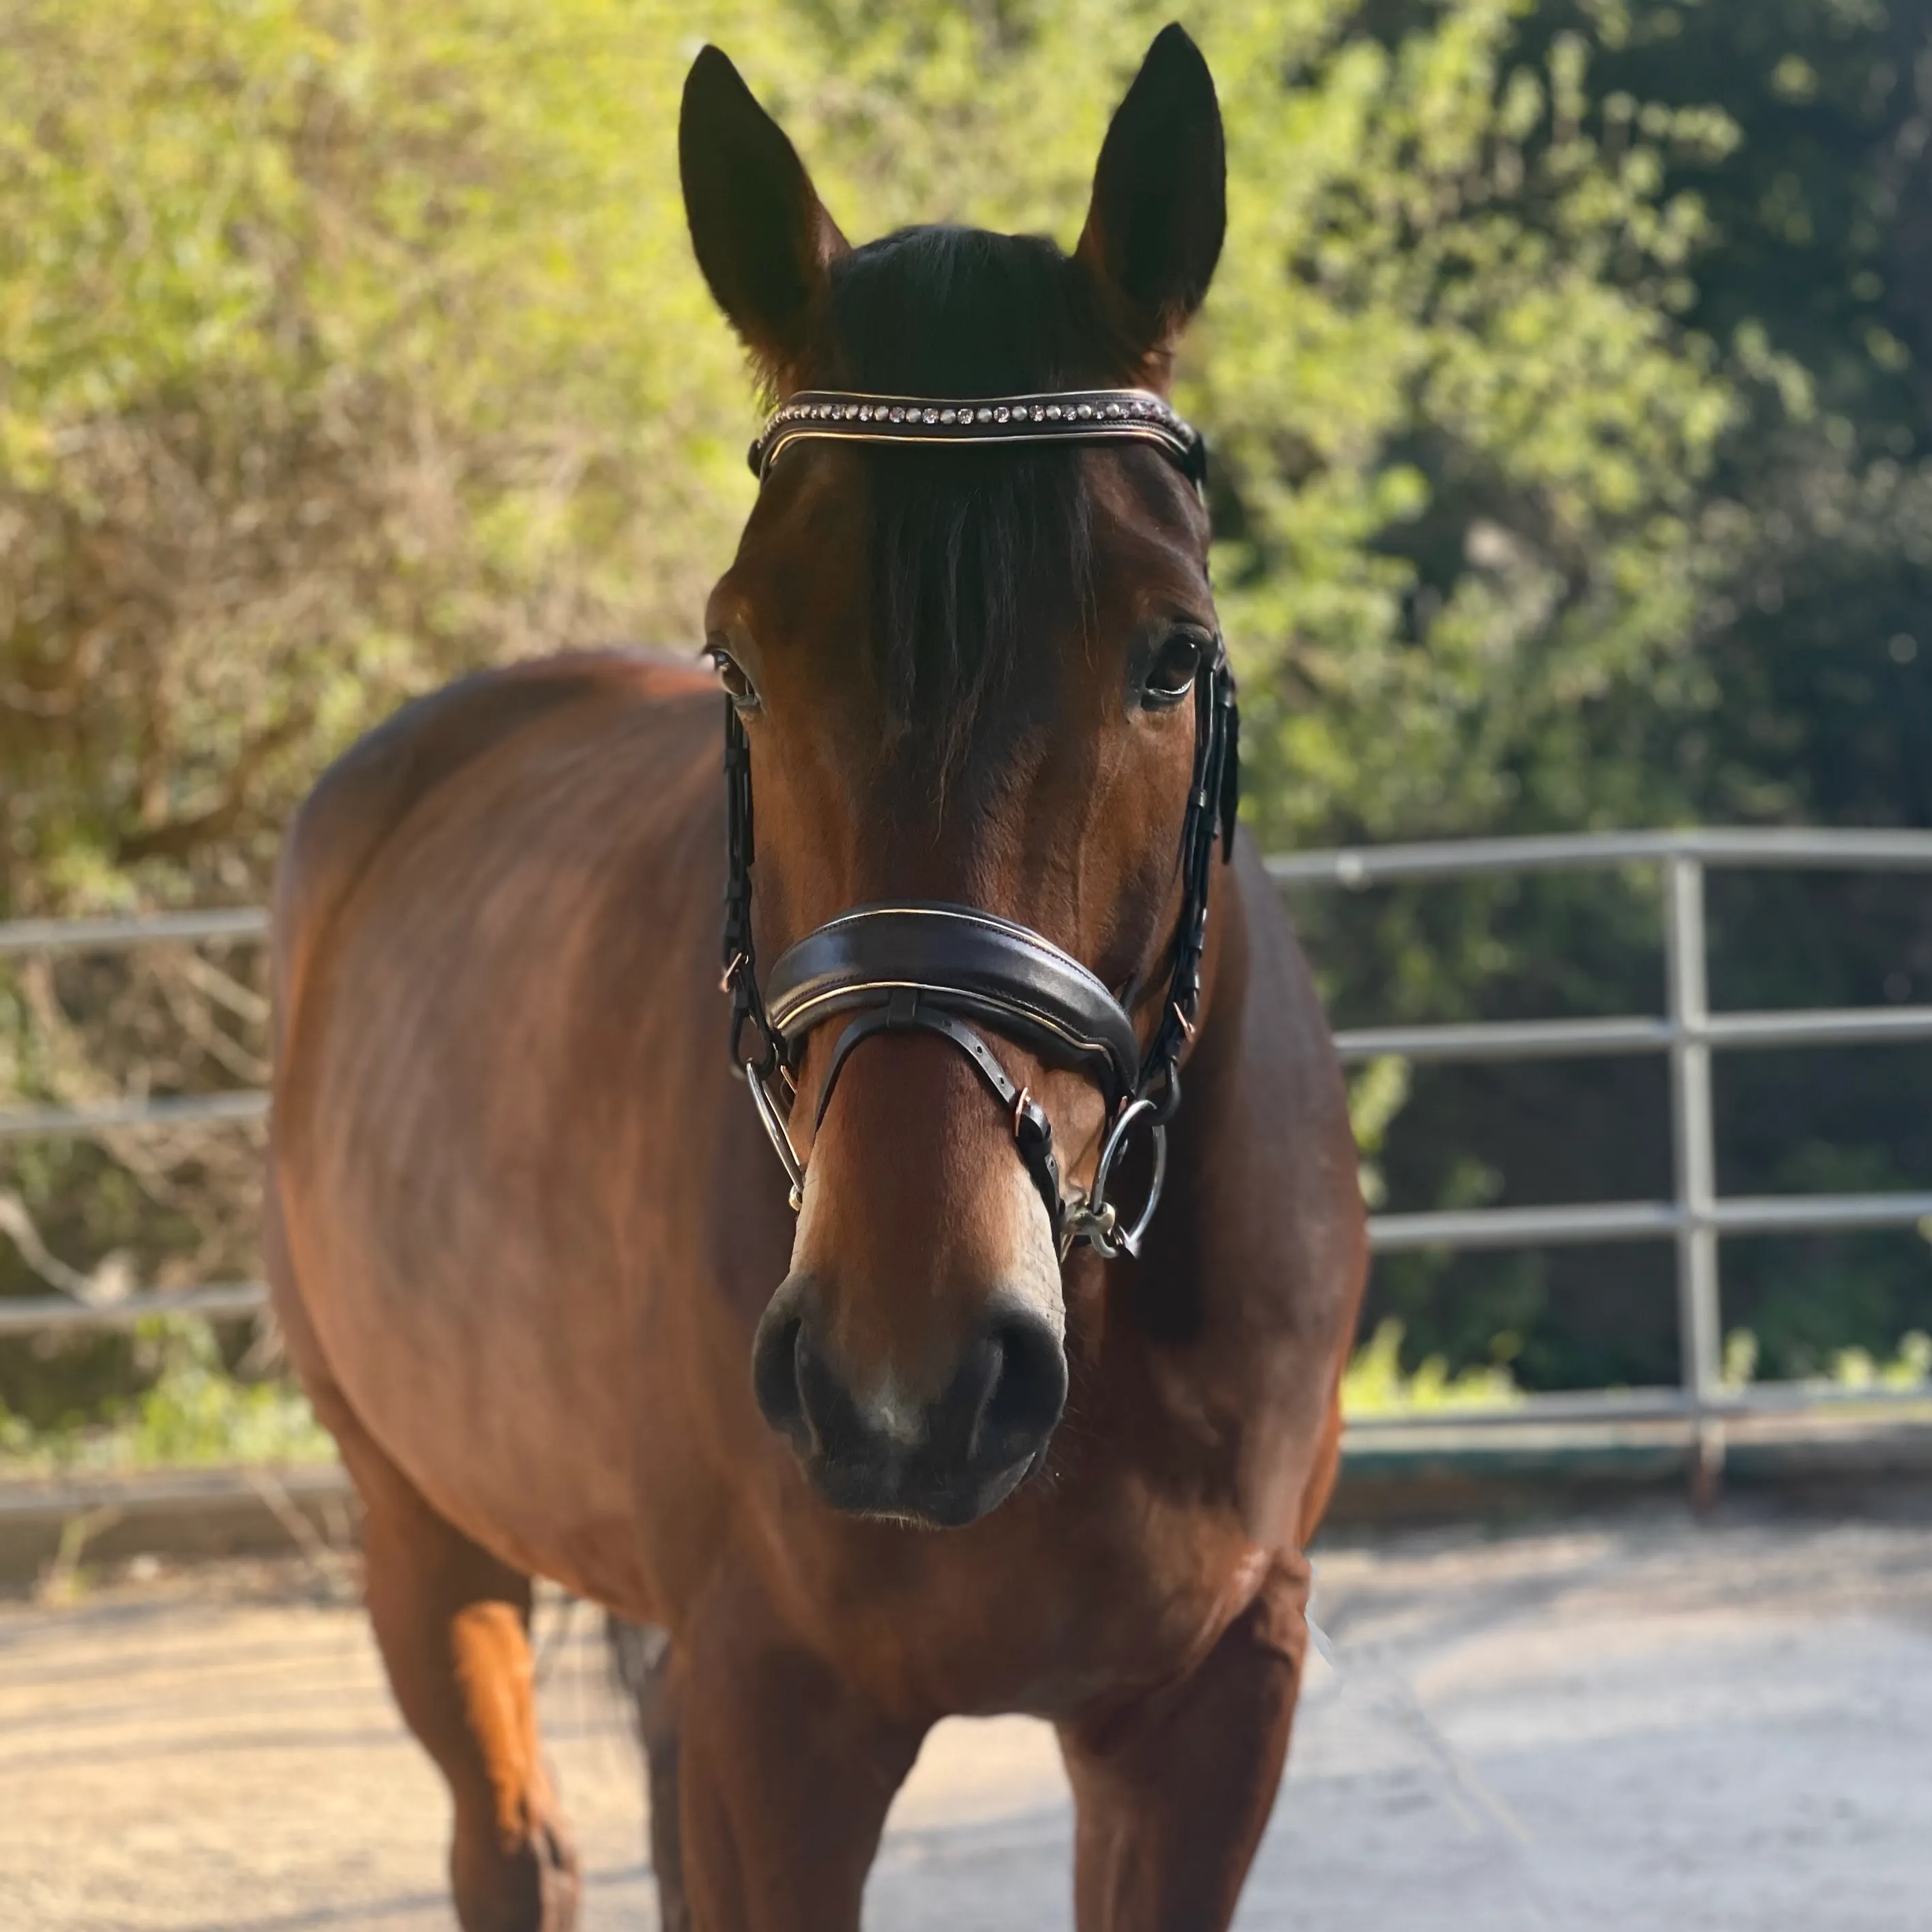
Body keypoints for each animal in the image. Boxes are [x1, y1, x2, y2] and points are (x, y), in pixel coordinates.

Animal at [268, 26, 1360, 1932]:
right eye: (740, 654)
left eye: (1170, 655)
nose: (908, 1376)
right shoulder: (779, 1718)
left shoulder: (1213, 1705)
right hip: (421, 1531)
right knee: (511, 1842)